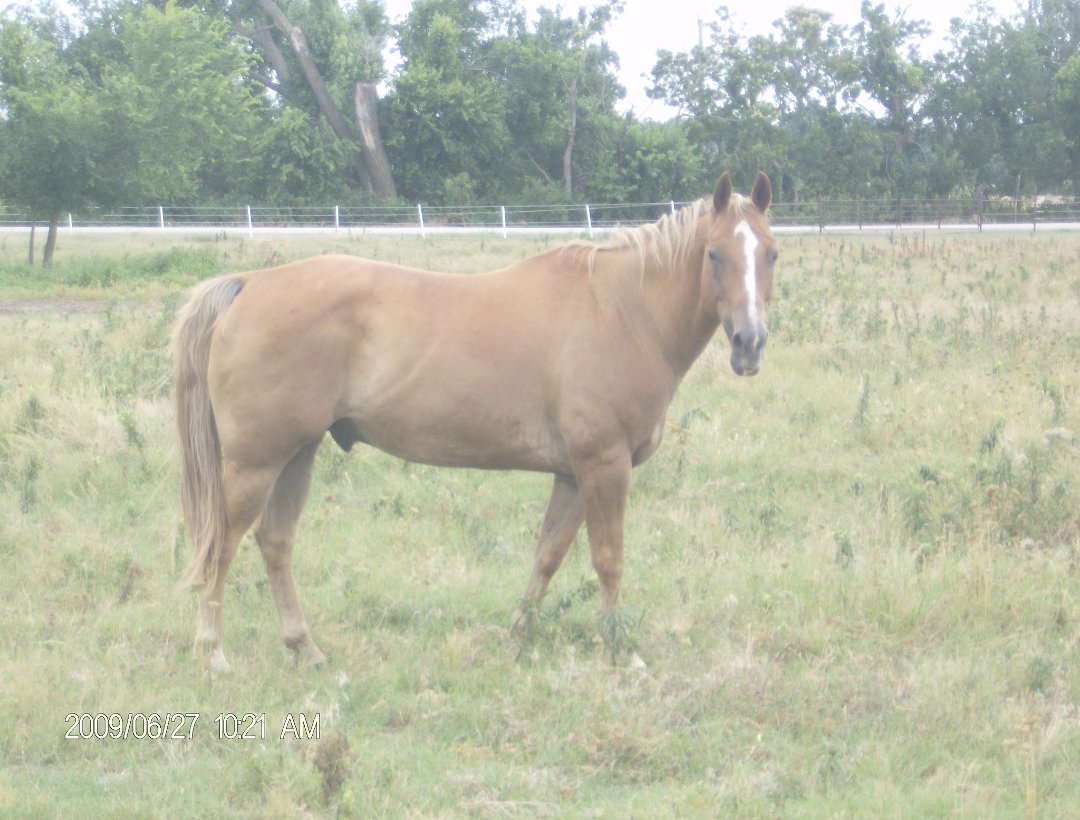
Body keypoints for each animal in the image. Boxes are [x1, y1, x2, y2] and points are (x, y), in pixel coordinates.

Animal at [172, 171, 777, 673]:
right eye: (714, 254)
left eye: (770, 253)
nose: (749, 344)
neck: (622, 312)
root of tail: (252, 283)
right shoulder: (604, 466)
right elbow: (609, 560)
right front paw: (620, 650)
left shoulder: (571, 475)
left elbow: (548, 555)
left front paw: (518, 635)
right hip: (256, 463)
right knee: (221, 544)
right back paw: (213, 651)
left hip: (297, 454)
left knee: (275, 543)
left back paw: (305, 648)